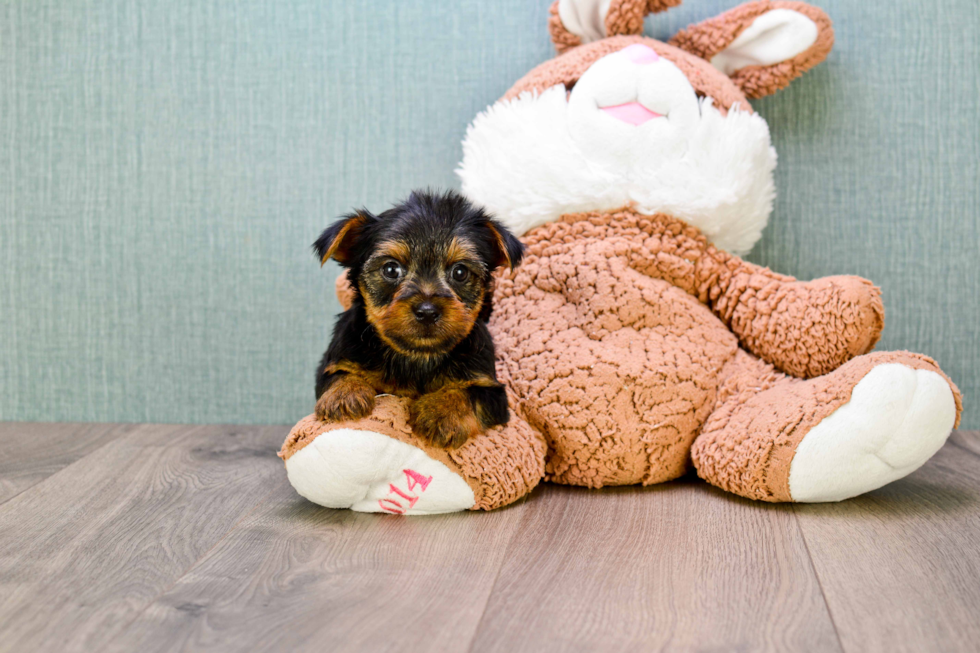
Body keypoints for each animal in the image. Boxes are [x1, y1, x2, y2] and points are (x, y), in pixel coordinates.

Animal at [312, 188, 524, 448]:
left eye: (460, 272)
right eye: (391, 269)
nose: (427, 311)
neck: (417, 356)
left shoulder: (492, 390)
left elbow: (469, 393)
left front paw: (441, 412)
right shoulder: (336, 359)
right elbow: (338, 374)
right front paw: (344, 394)